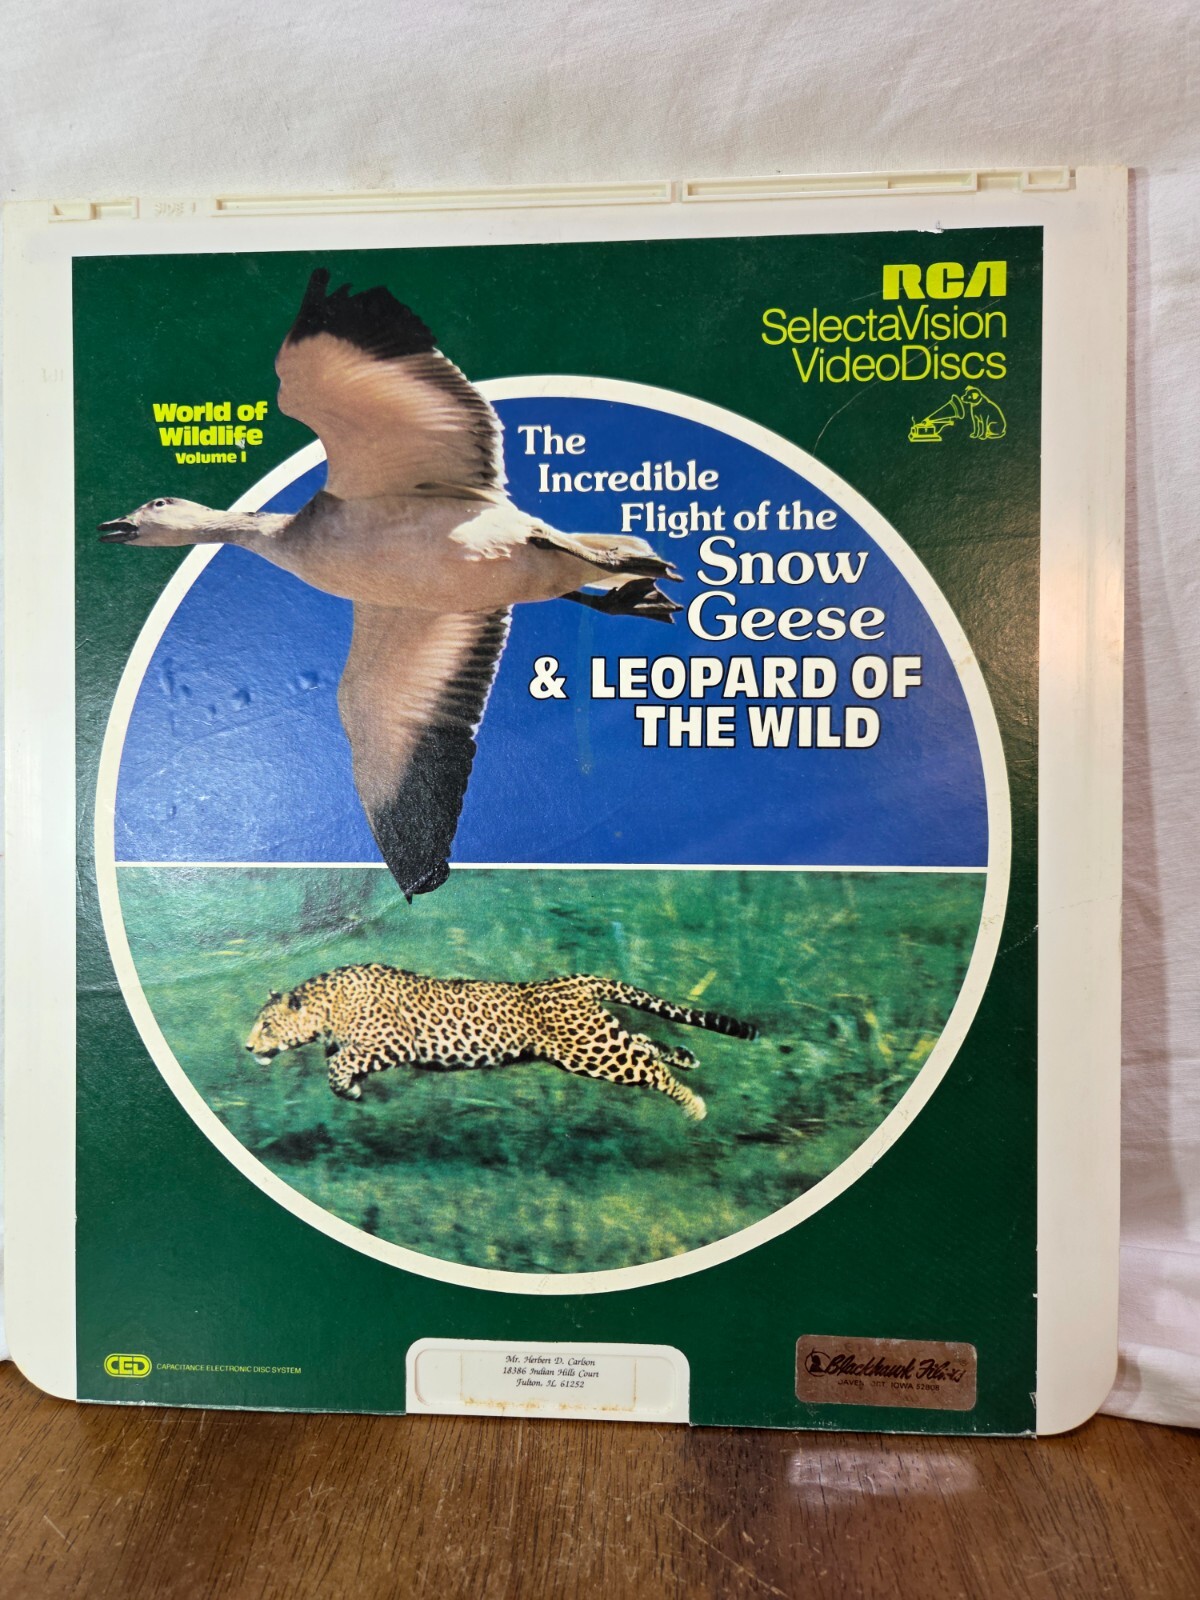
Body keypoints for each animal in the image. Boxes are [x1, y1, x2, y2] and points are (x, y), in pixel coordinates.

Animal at [245, 963, 759, 1120]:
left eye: (266, 1026)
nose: (248, 1048)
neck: (325, 1008)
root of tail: (573, 979)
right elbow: (337, 1066)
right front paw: (351, 1089)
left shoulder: (392, 1042)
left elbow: (336, 1067)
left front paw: (348, 1089)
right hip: (596, 1038)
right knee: (644, 1041)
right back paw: (686, 1057)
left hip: (592, 1052)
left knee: (650, 1068)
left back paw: (694, 1104)